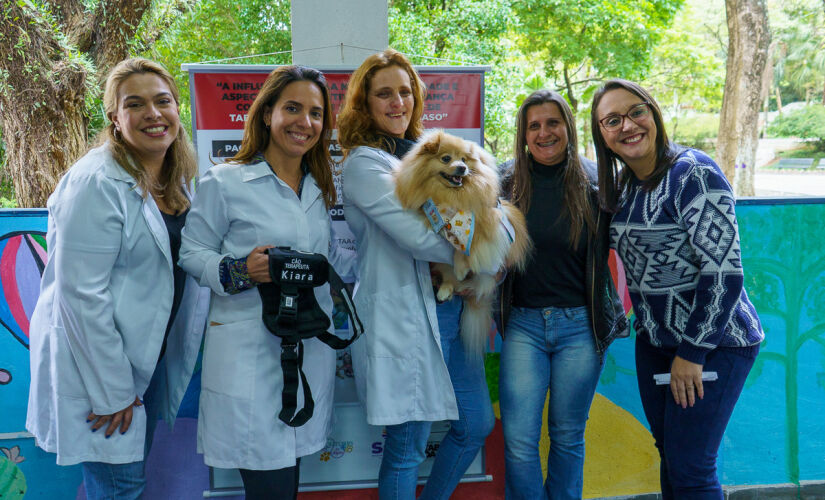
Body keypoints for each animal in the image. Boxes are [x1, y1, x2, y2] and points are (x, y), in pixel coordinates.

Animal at [396, 131, 532, 354]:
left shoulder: (488, 223)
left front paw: (462, 265)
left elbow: (469, 244)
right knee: (448, 276)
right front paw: (459, 267)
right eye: (446, 158)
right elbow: (453, 242)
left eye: (464, 159)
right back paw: (445, 289)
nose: (462, 168)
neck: (453, 197)